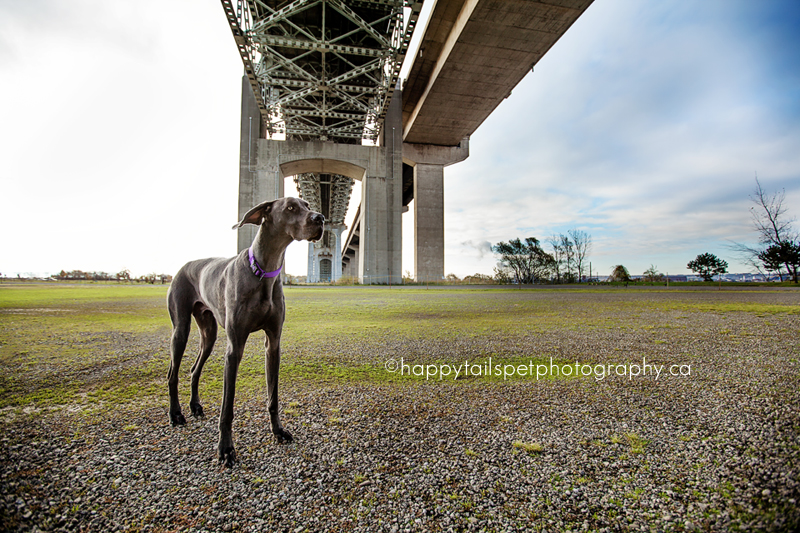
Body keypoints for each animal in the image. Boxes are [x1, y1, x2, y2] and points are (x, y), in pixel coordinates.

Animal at [167, 196, 324, 466]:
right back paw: (176, 414)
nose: (321, 218)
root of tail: (183, 266)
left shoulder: (273, 343)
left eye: (306, 204)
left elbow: (273, 396)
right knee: (173, 372)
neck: (263, 270)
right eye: (290, 207)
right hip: (181, 329)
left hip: (208, 333)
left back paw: (195, 406)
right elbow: (227, 407)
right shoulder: (234, 348)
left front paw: (277, 431)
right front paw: (225, 449)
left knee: (194, 369)